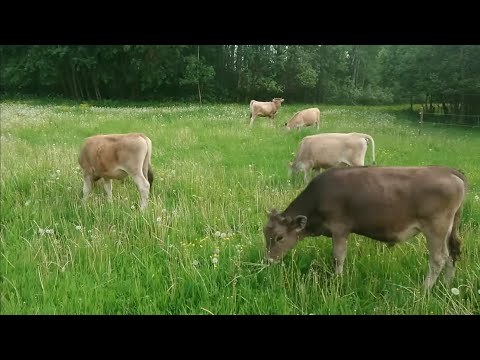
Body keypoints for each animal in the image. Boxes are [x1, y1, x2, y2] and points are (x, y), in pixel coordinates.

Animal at [264, 166, 466, 290]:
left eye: (280, 237)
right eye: (265, 234)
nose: (267, 261)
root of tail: (448, 170)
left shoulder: (339, 228)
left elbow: (338, 257)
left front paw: (337, 280)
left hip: (436, 228)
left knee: (439, 258)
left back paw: (424, 289)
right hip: (449, 229)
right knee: (452, 252)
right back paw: (447, 285)